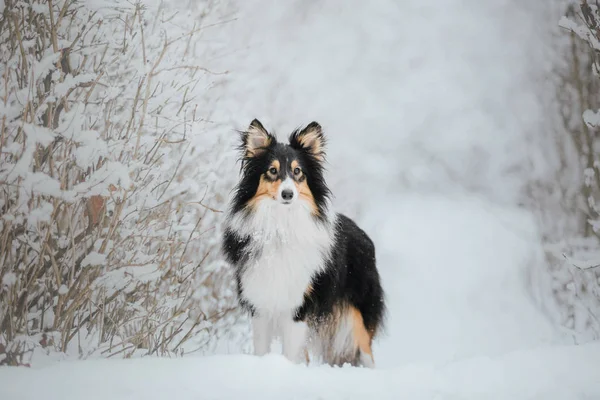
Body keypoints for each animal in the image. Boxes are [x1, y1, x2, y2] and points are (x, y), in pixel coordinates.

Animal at [223, 119, 386, 368]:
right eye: (272, 171)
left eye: (297, 171)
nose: (288, 194)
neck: (281, 227)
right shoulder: (260, 302)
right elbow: (262, 349)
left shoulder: (299, 306)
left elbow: (291, 352)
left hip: (359, 315)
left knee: (367, 351)